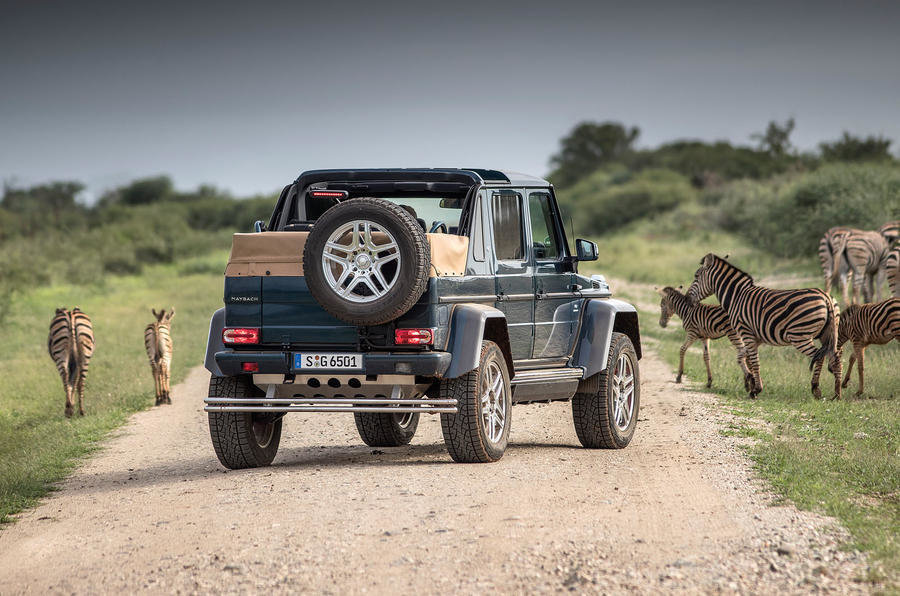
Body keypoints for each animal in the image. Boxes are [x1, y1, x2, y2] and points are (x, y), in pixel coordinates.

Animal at [688, 253, 844, 400]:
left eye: (696, 276)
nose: (688, 297)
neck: (736, 297)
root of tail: (826, 297)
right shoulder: (756, 338)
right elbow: (743, 357)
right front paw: (751, 382)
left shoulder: (746, 331)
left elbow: (754, 361)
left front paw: (755, 390)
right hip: (828, 334)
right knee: (836, 357)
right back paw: (837, 394)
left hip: (799, 336)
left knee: (819, 357)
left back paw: (816, 388)